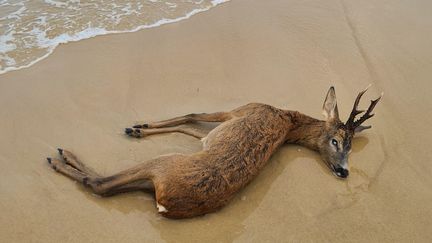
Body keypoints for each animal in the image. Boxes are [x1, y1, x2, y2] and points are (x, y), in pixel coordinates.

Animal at [46, 87, 382, 218]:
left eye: (349, 145)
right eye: (337, 141)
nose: (344, 171)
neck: (287, 118)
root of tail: (167, 201)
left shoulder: (238, 111)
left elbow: (192, 113)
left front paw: (138, 126)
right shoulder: (217, 129)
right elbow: (191, 126)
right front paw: (140, 128)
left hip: (163, 163)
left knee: (101, 184)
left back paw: (60, 157)